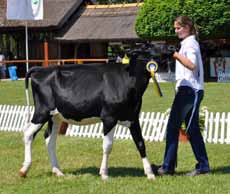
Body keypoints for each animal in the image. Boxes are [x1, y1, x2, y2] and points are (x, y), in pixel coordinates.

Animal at [19, 47, 160, 180]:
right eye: (146, 52)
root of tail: (40, 70)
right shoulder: (109, 117)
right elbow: (107, 146)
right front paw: (104, 174)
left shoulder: (133, 117)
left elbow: (140, 143)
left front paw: (150, 174)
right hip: (42, 111)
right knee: (28, 133)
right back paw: (24, 169)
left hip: (55, 116)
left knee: (49, 139)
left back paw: (58, 171)